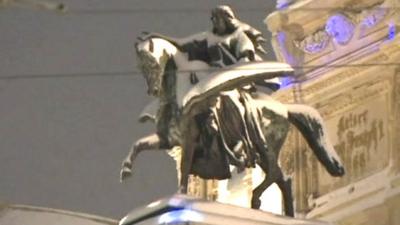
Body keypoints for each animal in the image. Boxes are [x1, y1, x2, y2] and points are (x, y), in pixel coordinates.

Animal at [121, 37, 344, 216]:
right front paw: (126, 168)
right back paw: (287, 214)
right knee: (284, 180)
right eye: (141, 68)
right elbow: (138, 144)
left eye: (153, 63)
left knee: (275, 174)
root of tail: (286, 110)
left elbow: (184, 168)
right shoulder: (168, 139)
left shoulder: (189, 138)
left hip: (267, 147)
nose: (153, 90)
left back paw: (257, 199)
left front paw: (180, 197)